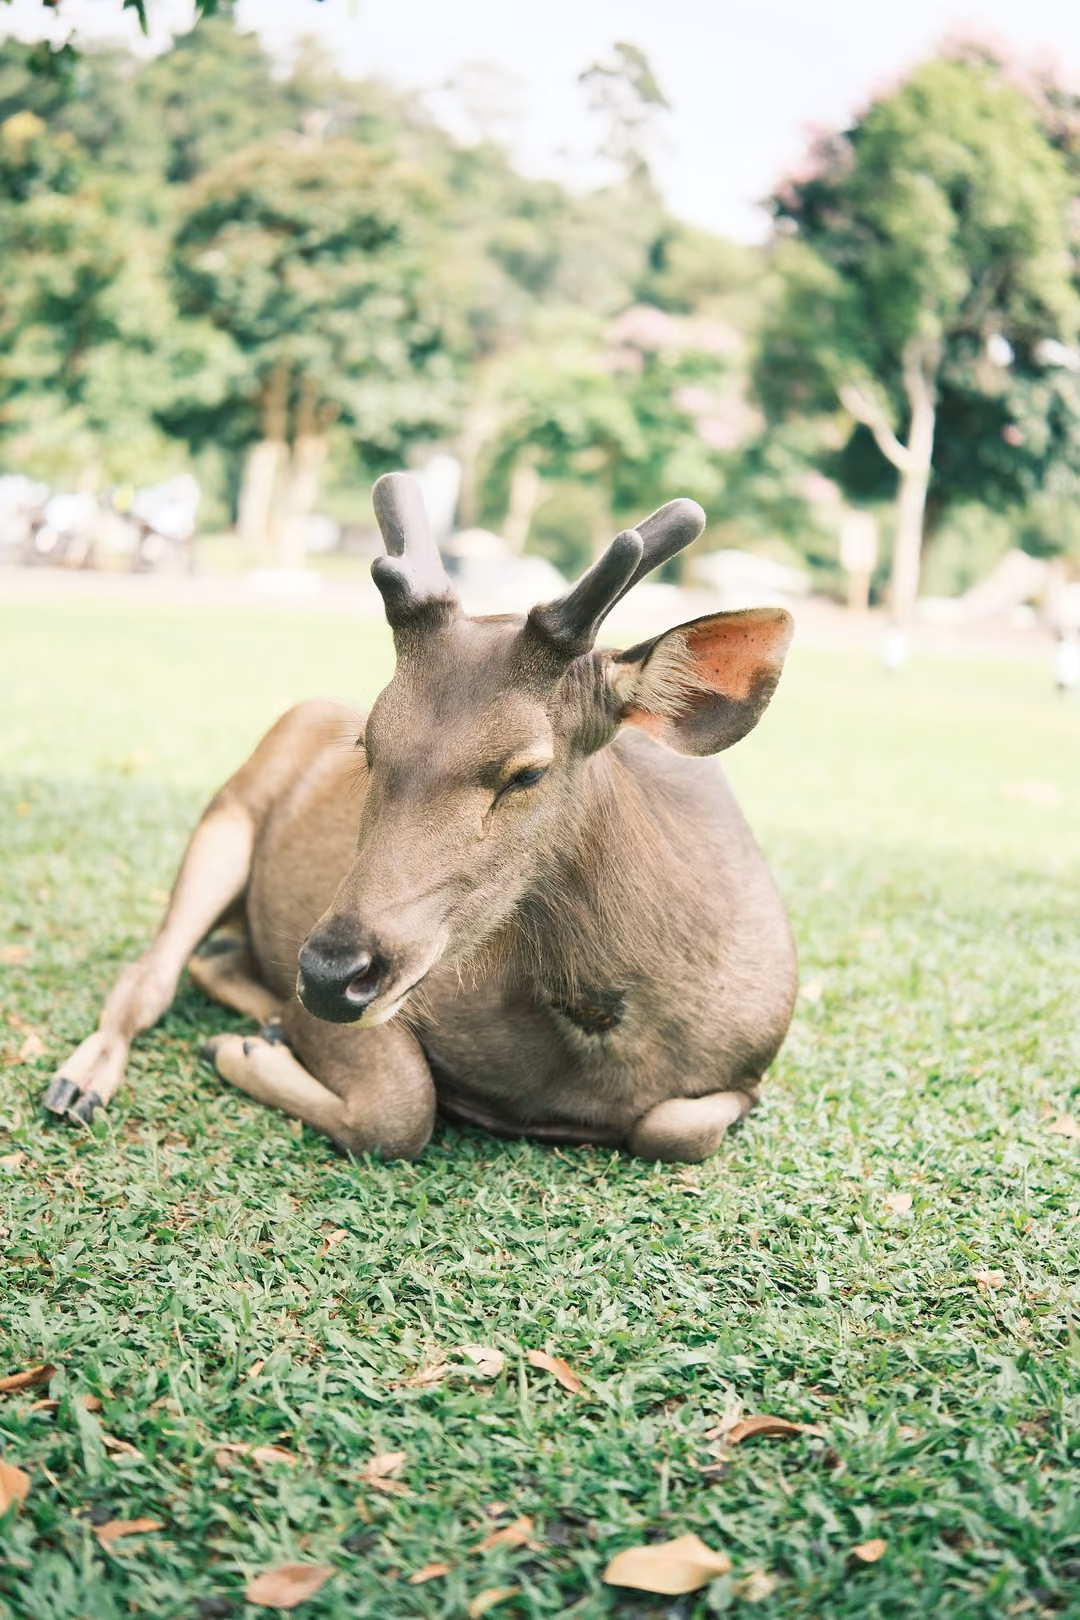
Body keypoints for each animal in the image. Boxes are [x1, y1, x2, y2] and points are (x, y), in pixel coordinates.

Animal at [43, 473, 797, 1164]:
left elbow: (675, 1128)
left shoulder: (752, 1069)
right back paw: (82, 1082)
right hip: (225, 819)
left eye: (527, 771)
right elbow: (401, 1110)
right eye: (368, 744)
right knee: (150, 973)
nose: (326, 973)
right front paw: (240, 1053)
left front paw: (258, 1040)